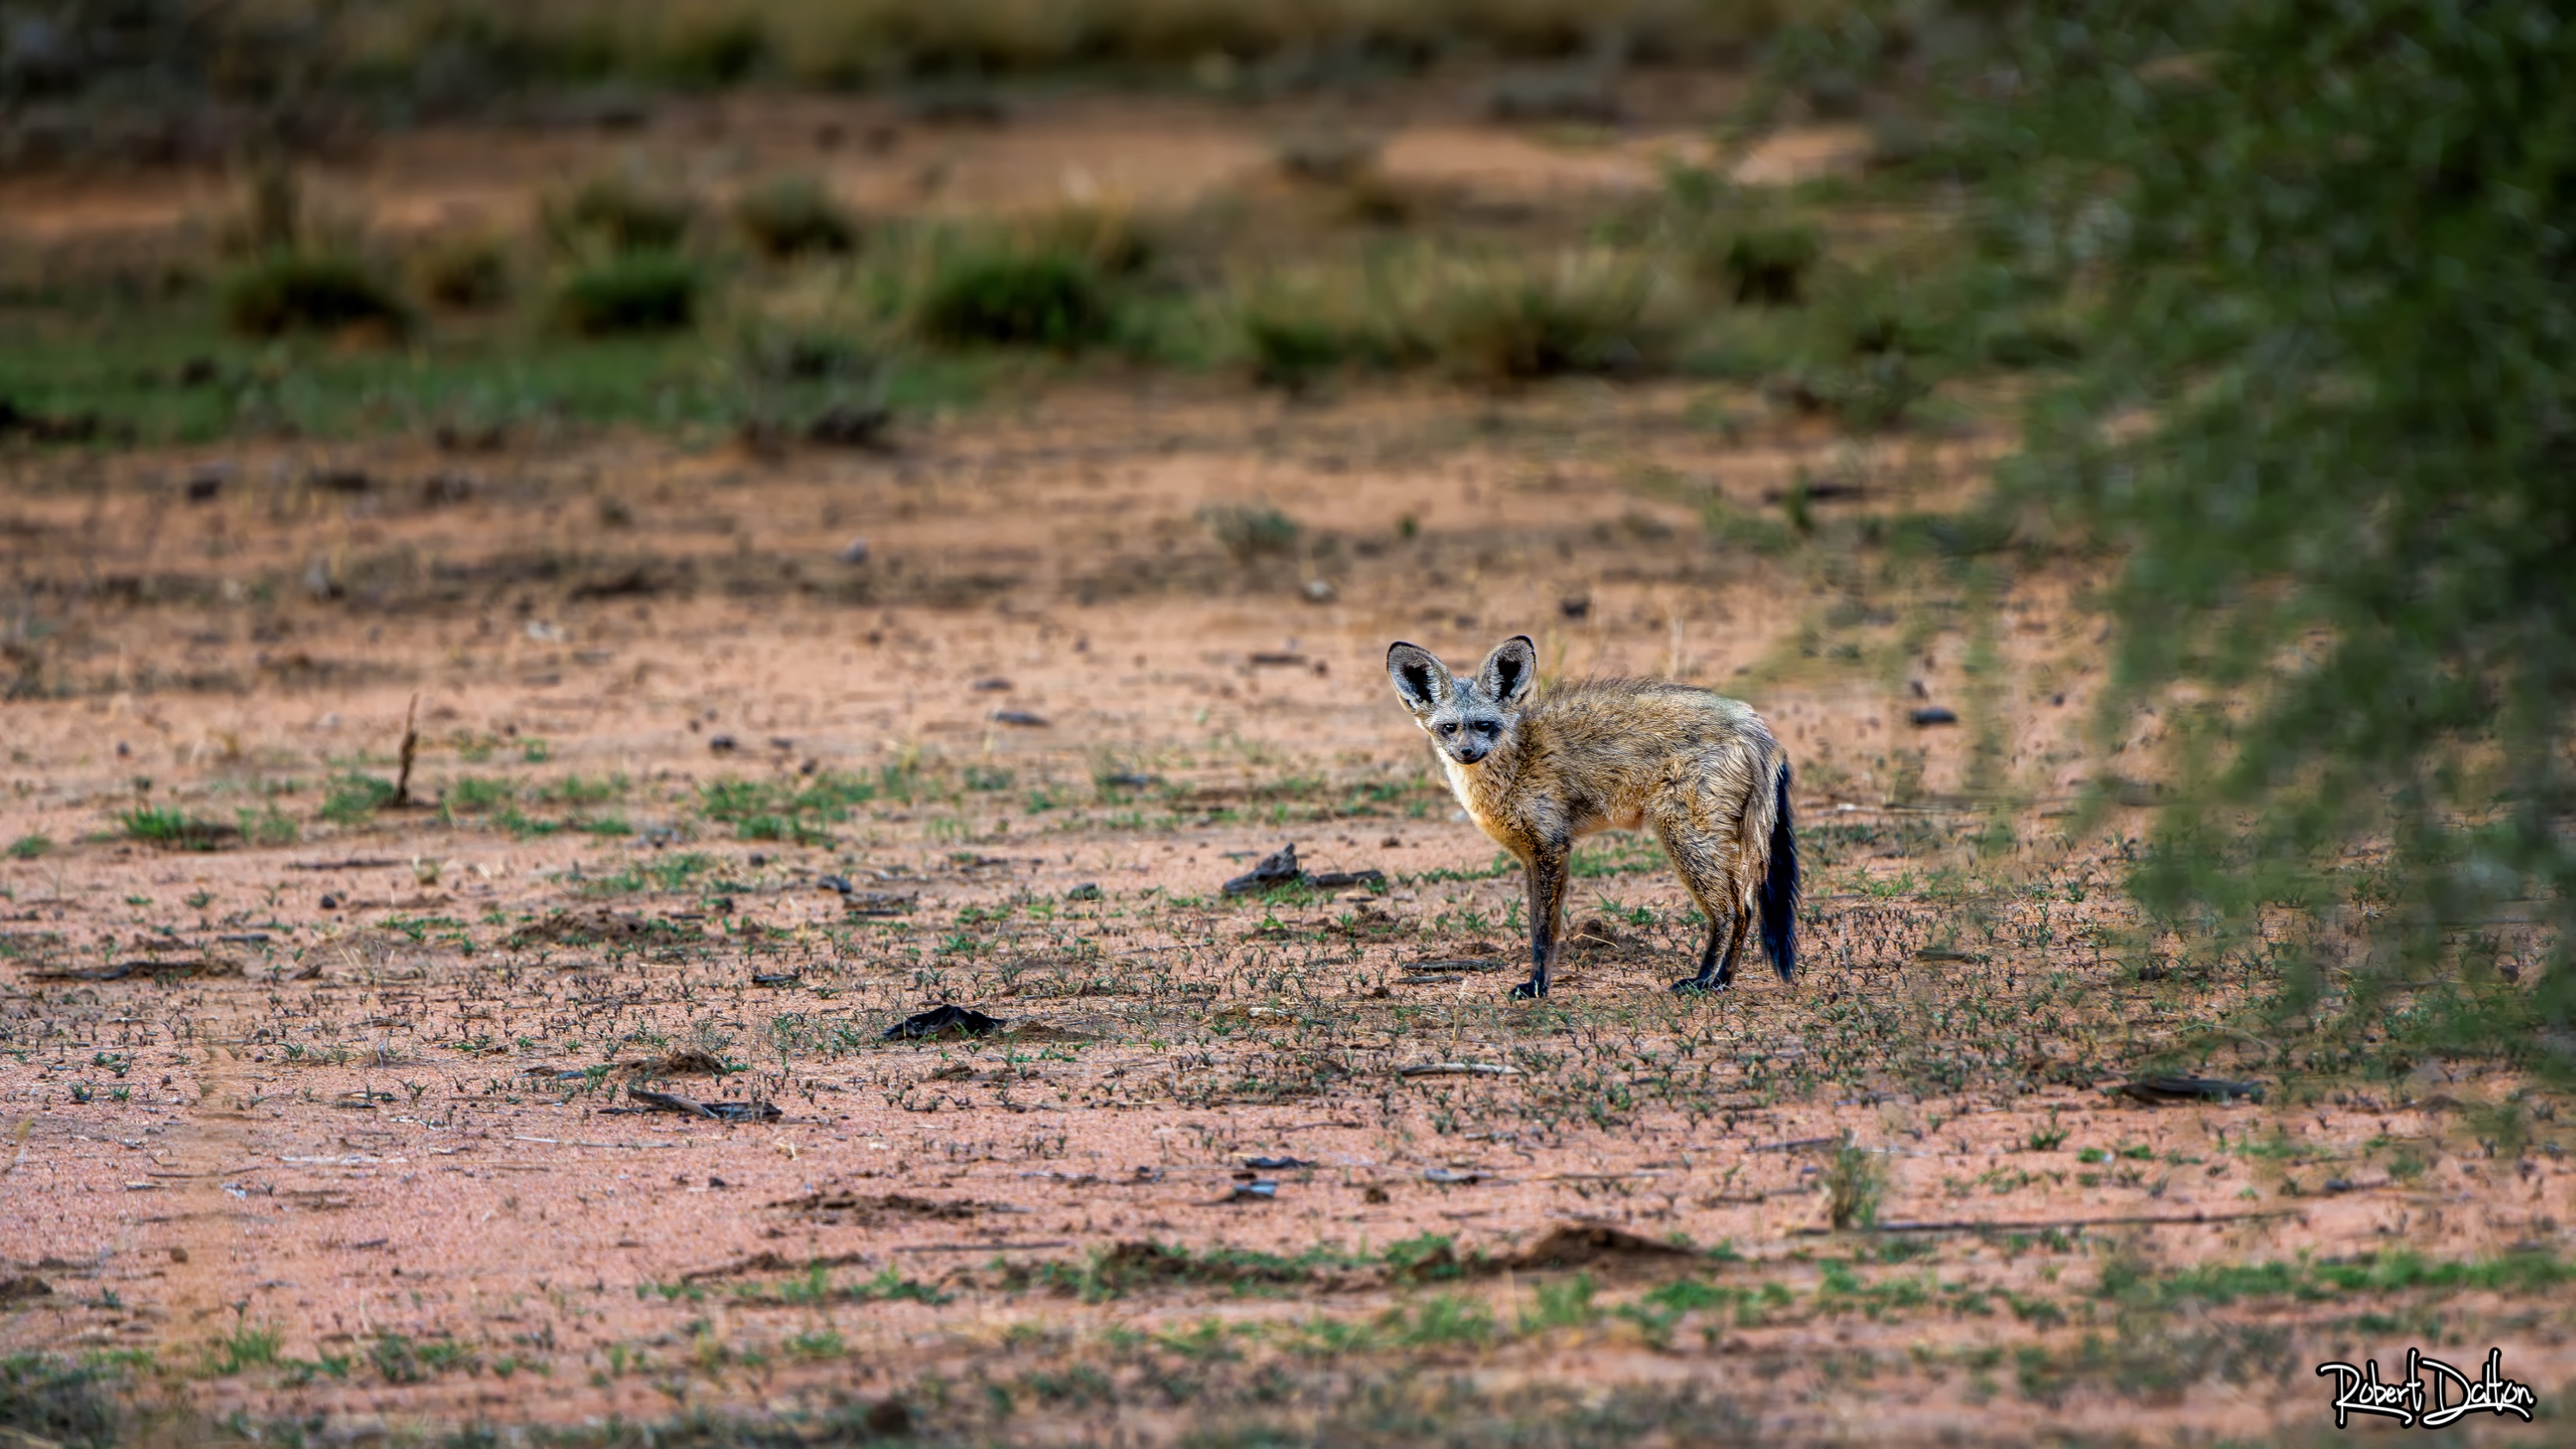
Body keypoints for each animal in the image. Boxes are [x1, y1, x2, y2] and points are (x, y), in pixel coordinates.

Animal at [1384, 635, 1797, 1000]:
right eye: (1449, 728)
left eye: (1485, 725)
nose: (1467, 753)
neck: (1516, 766)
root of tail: (1751, 723)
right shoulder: (1530, 856)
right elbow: (1535, 925)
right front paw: (1537, 983)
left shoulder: (1552, 849)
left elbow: (1544, 931)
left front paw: (1538, 987)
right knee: (1745, 909)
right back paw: (1721, 980)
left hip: (1688, 843)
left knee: (1729, 913)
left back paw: (1704, 982)